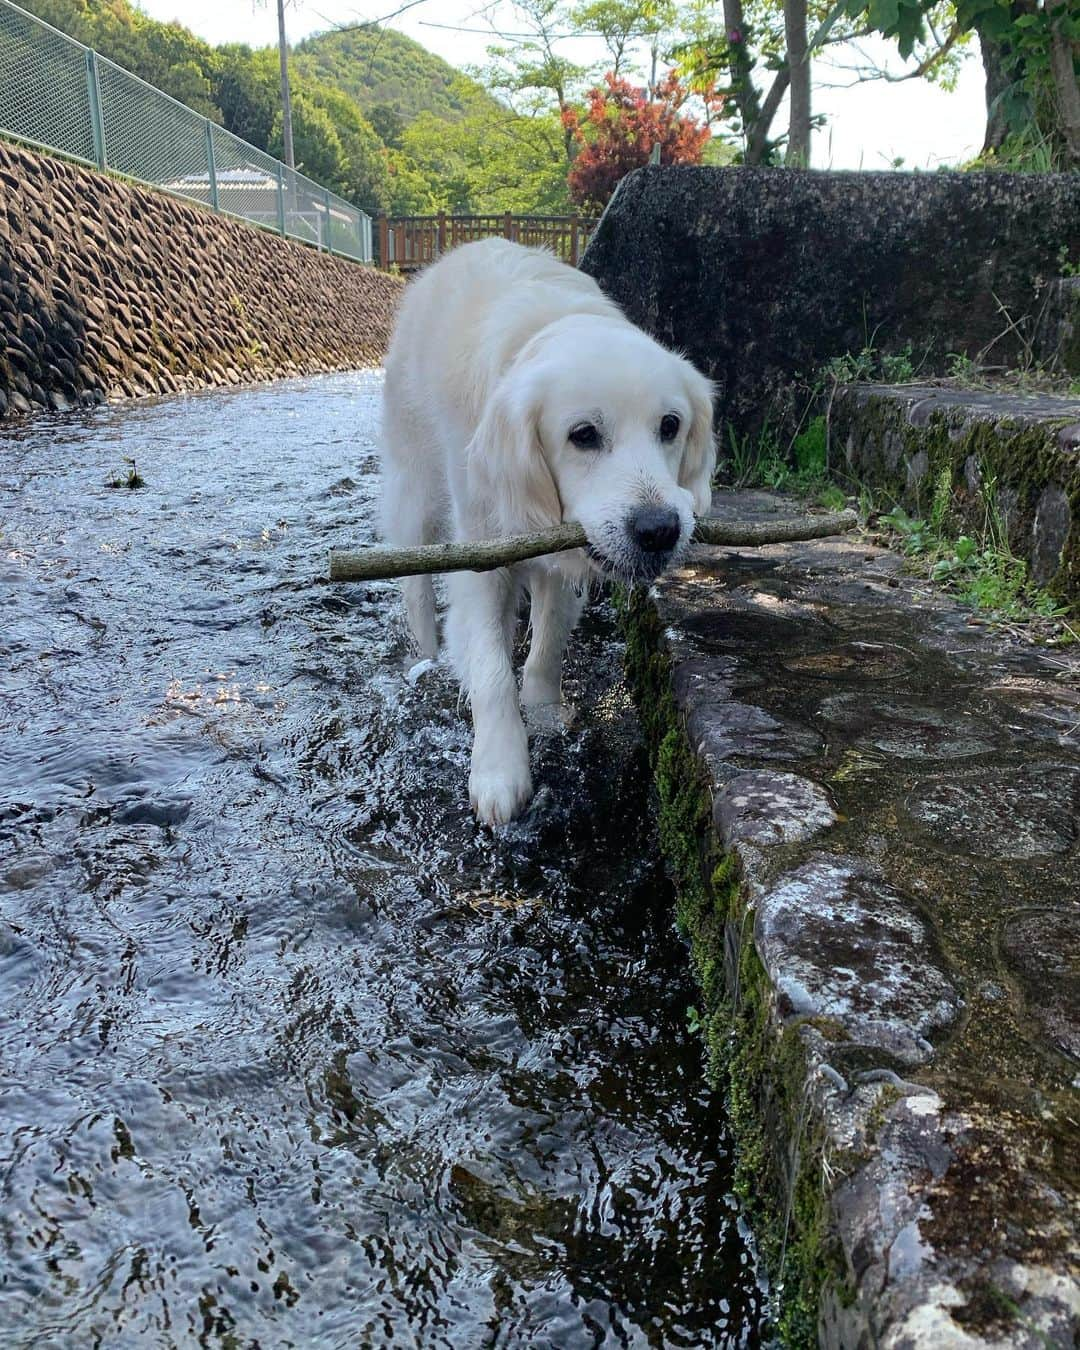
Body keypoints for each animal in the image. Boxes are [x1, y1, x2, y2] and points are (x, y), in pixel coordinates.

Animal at [380, 238, 718, 820]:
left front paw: (541, 713)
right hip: (414, 491)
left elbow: (548, 642)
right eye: (583, 435)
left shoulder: (569, 555)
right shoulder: (481, 551)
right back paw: (423, 658)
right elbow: (490, 668)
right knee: (417, 587)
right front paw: (499, 769)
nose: (659, 530)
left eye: (671, 426)